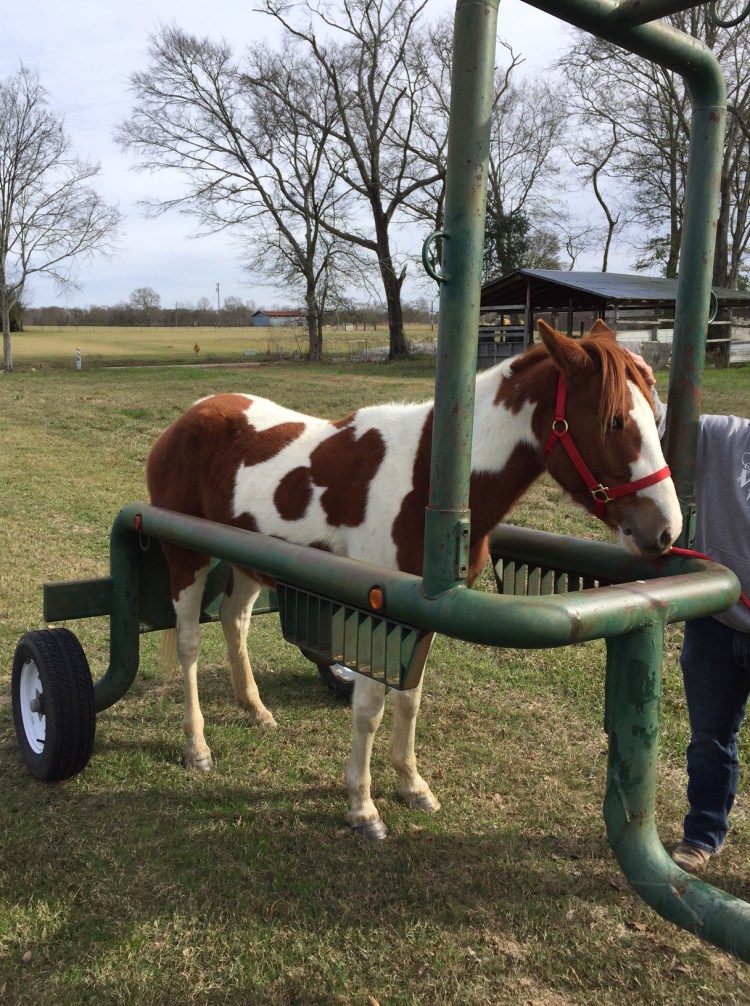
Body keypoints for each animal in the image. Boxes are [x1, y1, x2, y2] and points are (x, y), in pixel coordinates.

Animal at [146, 319, 681, 839]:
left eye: (656, 418)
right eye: (614, 421)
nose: (665, 530)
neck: (429, 484)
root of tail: (186, 420)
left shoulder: (420, 615)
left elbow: (409, 700)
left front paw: (412, 785)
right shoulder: (372, 612)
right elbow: (369, 708)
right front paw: (362, 808)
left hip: (247, 563)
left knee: (235, 621)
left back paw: (255, 710)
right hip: (185, 558)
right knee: (190, 645)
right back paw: (197, 747)